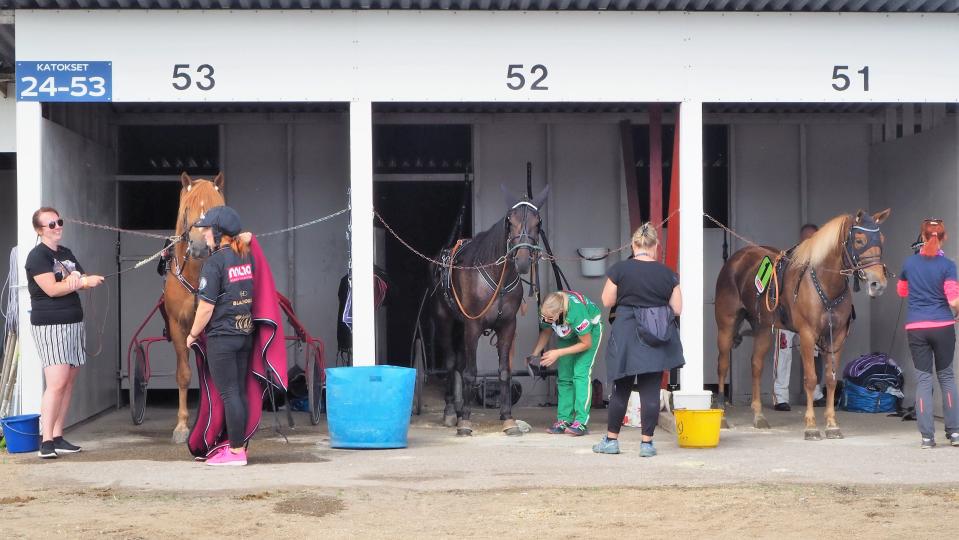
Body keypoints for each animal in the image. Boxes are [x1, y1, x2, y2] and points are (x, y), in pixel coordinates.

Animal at [428, 186, 548, 434]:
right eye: (510, 221)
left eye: (538, 221)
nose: (522, 260)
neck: (497, 278)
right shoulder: (473, 325)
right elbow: (470, 372)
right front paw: (465, 421)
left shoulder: (507, 326)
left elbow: (504, 372)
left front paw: (508, 418)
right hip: (446, 322)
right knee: (452, 363)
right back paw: (451, 411)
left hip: (460, 326)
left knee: (459, 364)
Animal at [712, 209, 892, 440]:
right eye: (859, 240)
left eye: (882, 240)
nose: (878, 283)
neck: (825, 282)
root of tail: (736, 259)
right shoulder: (808, 335)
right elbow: (810, 379)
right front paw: (811, 426)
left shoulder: (836, 337)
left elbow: (830, 379)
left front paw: (832, 424)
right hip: (726, 325)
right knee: (723, 365)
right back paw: (722, 415)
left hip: (763, 329)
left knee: (756, 366)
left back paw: (759, 416)